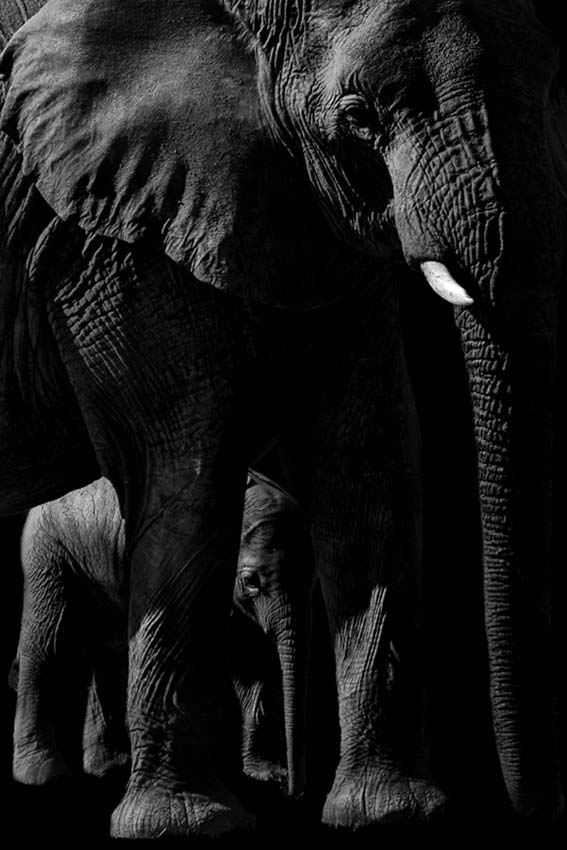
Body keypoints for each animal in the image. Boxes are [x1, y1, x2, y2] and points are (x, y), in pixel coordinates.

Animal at [11, 470, 313, 796]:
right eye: (251, 581)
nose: (294, 790)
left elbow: (251, 659)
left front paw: (265, 775)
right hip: (49, 551)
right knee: (46, 643)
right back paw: (44, 777)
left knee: (106, 650)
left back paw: (109, 768)